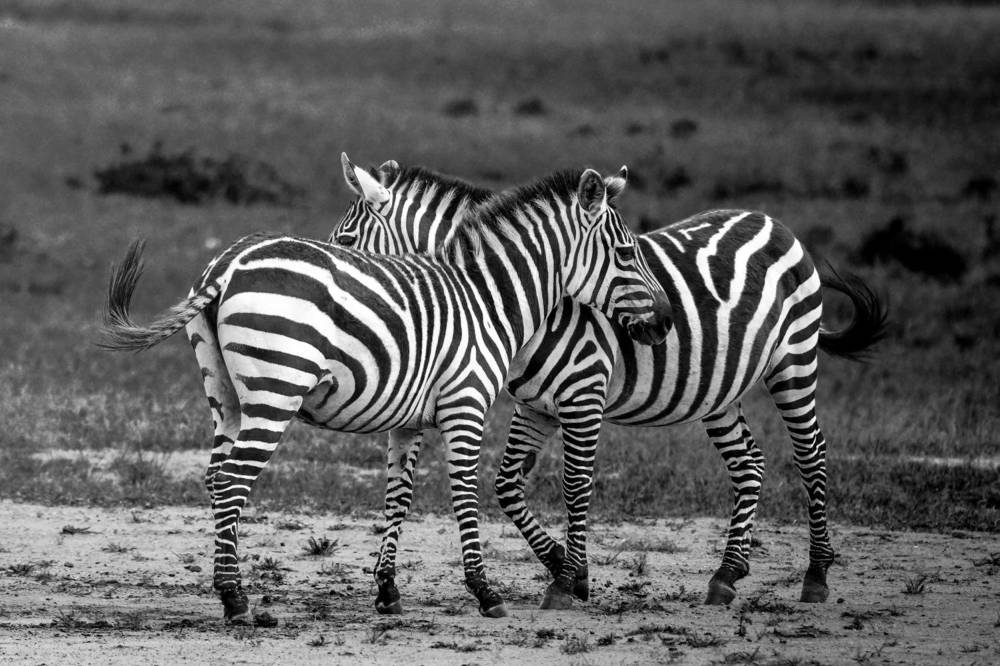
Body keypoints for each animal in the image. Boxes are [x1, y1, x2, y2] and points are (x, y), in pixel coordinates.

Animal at [99, 163, 673, 622]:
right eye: (627, 253)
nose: (666, 322)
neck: (488, 299)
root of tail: (227, 265)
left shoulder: (409, 419)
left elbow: (399, 496)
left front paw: (388, 591)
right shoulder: (466, 404)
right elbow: (465, 494)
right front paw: (486, 591)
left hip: (226, 395)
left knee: (216, 477)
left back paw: (227, 590)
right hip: (275, 390)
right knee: (234, 480)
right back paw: (236, 599)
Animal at [332, 160, 887, 608]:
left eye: (345, 243)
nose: (664, 323)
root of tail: (771, 220)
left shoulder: (583, 395)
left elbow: (575, 485)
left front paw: (565, 582)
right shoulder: (535, 404)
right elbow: (507, 484)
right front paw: (565, 567)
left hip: (794, 361)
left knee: (811, 454)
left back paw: (816, 574)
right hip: (718, 391)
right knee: (748, 462)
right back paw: (727, 574)